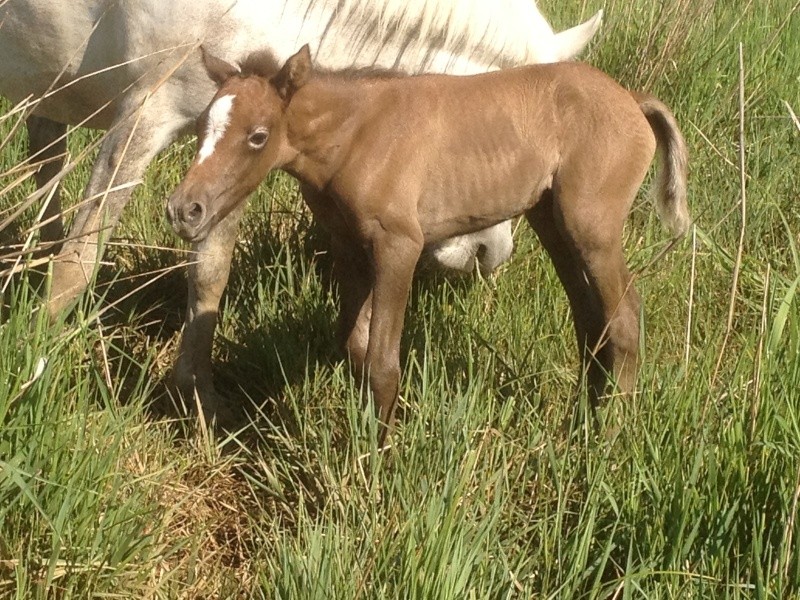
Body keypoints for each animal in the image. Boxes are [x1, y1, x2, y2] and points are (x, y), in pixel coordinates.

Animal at [0, 0, 600, 412]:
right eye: (500, 131)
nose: (487, 254)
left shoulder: (229, 151)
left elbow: (210, 273)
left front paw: (198, 400)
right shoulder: (144, 114)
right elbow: (80, 261)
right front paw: (28, 367)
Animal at [167, 45, 688, 440]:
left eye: (258, 136)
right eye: (201, 128)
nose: (184, 209)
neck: (356, 135)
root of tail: (631, 99)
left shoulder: (400, 245)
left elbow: (382, 362)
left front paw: (377, 466)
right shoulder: (348, 245)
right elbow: (354, 346)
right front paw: (366, 438)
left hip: (591, 227)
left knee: (624, 317)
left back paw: (609, 433)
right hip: (551, 221)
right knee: (589, 319)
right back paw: (581, 418)